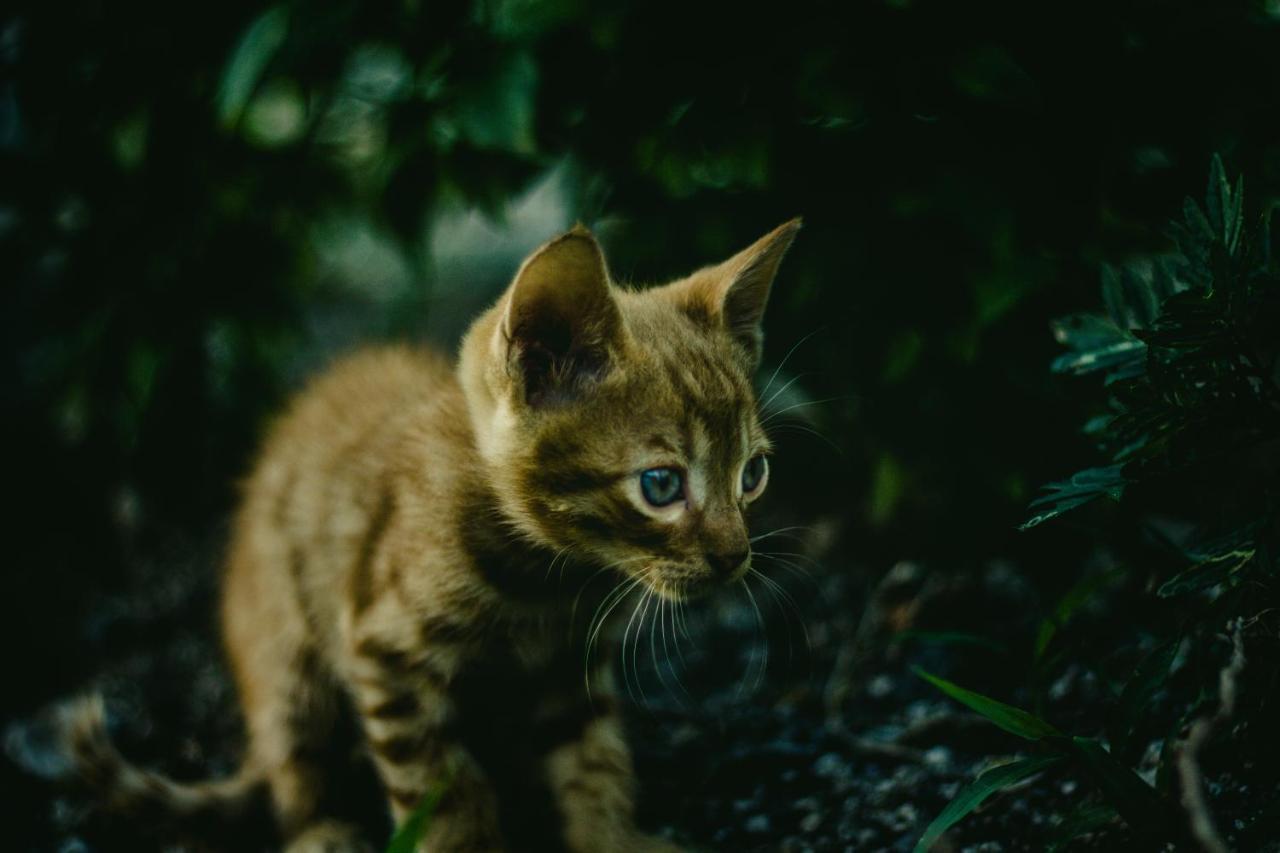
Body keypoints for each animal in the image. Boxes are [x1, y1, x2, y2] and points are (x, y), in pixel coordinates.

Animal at [64, 217, 798, 850]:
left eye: (753, 473)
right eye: (661, 486)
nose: (736, 557)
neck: (546, 582)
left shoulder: (569, 666)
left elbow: (593, 762)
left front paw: (611, 840)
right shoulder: (384, 650)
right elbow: (443, 793)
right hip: (284, 642)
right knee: (292, 755)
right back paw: (318, 828)